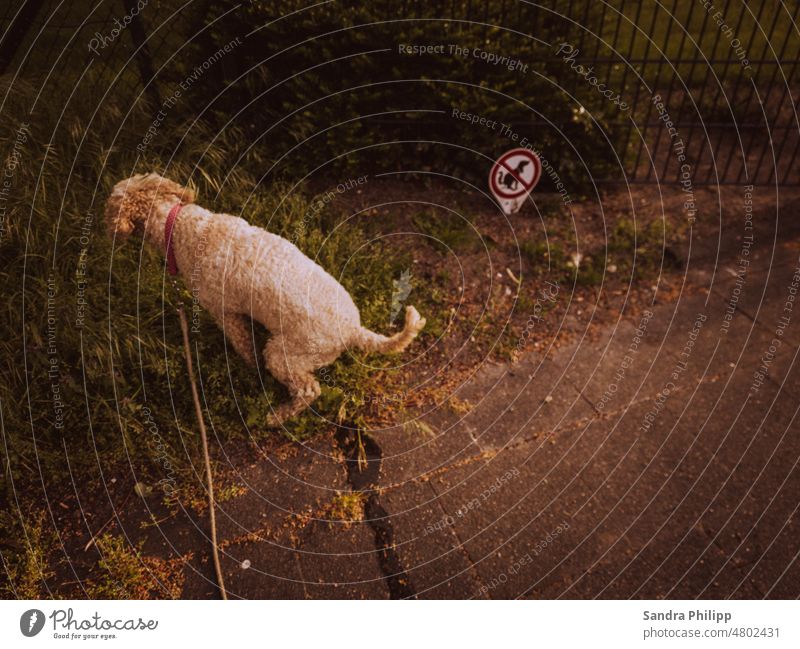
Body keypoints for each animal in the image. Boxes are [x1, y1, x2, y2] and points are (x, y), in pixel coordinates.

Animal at [109, 172, 428, 426]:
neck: (178, 226)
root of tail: (354, 331)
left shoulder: (226, 314)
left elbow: (245, 347)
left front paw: (251, 371)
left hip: (285, 354)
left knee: (308, 390)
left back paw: (278, 416)